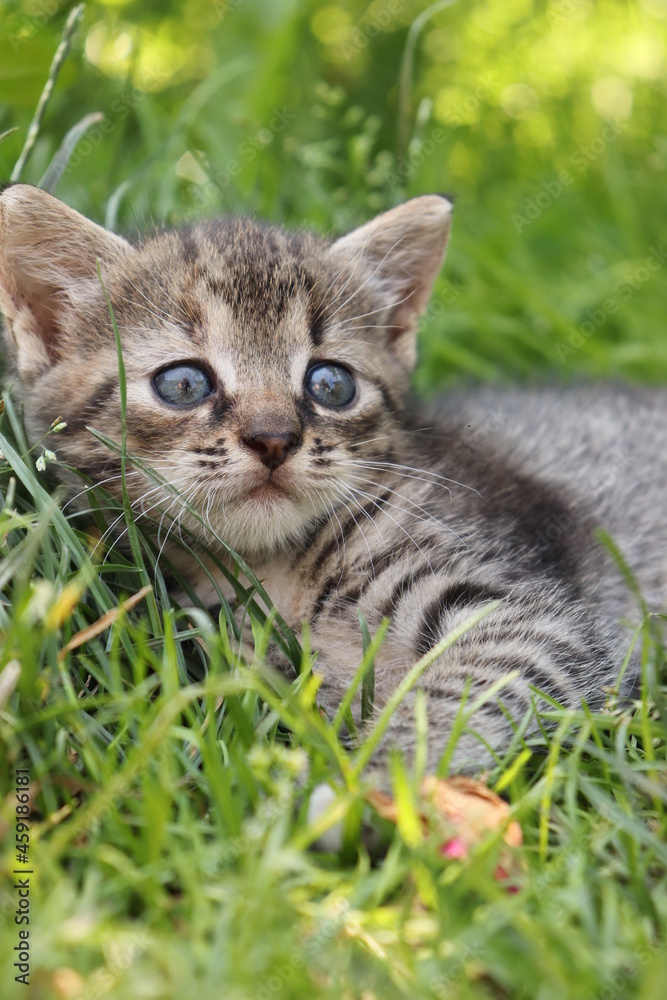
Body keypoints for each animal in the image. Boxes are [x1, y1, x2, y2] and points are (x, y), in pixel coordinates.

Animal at [1, 184, 667, 768]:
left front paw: (367, 788)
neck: (279, 573)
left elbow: (458, 700)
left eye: (331, 384)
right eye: (183, 383)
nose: (273, 439)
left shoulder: (532, 620)